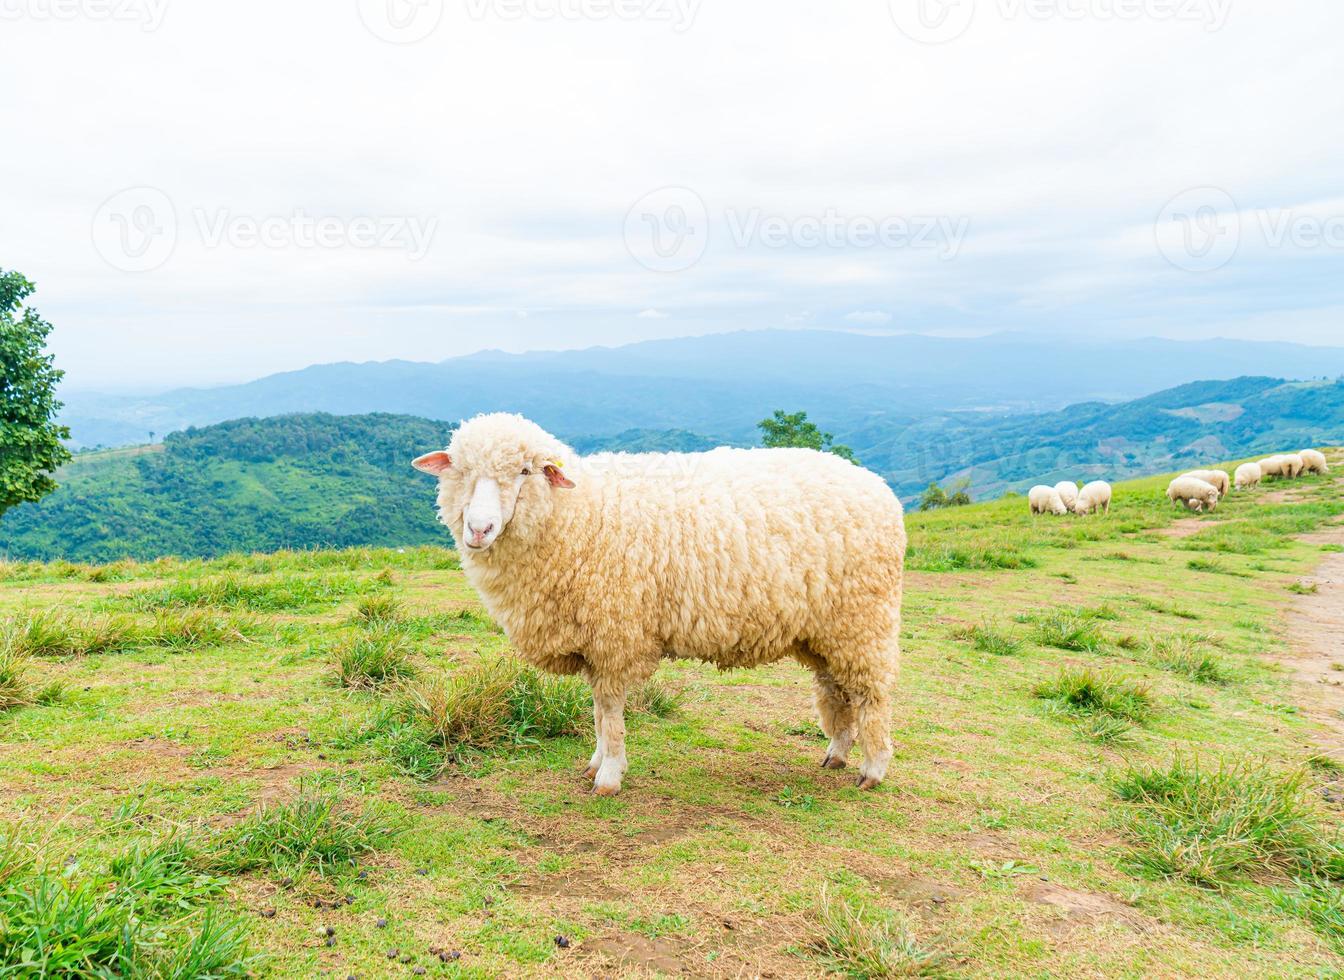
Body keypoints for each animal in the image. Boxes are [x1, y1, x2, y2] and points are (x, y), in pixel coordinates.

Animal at [413, 414, 908, 795]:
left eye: (525, 471)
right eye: (459, 470)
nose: (479, 529)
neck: (577, 513)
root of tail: (876, 484)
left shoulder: (615, 632)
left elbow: (610, 711)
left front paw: (609, 776)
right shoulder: (595, 639)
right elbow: (598, 711)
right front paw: (596, 762)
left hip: (864, 619)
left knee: (873, 694)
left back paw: (873, 769)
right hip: (824, 630)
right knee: (836, 690)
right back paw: (837, 754)